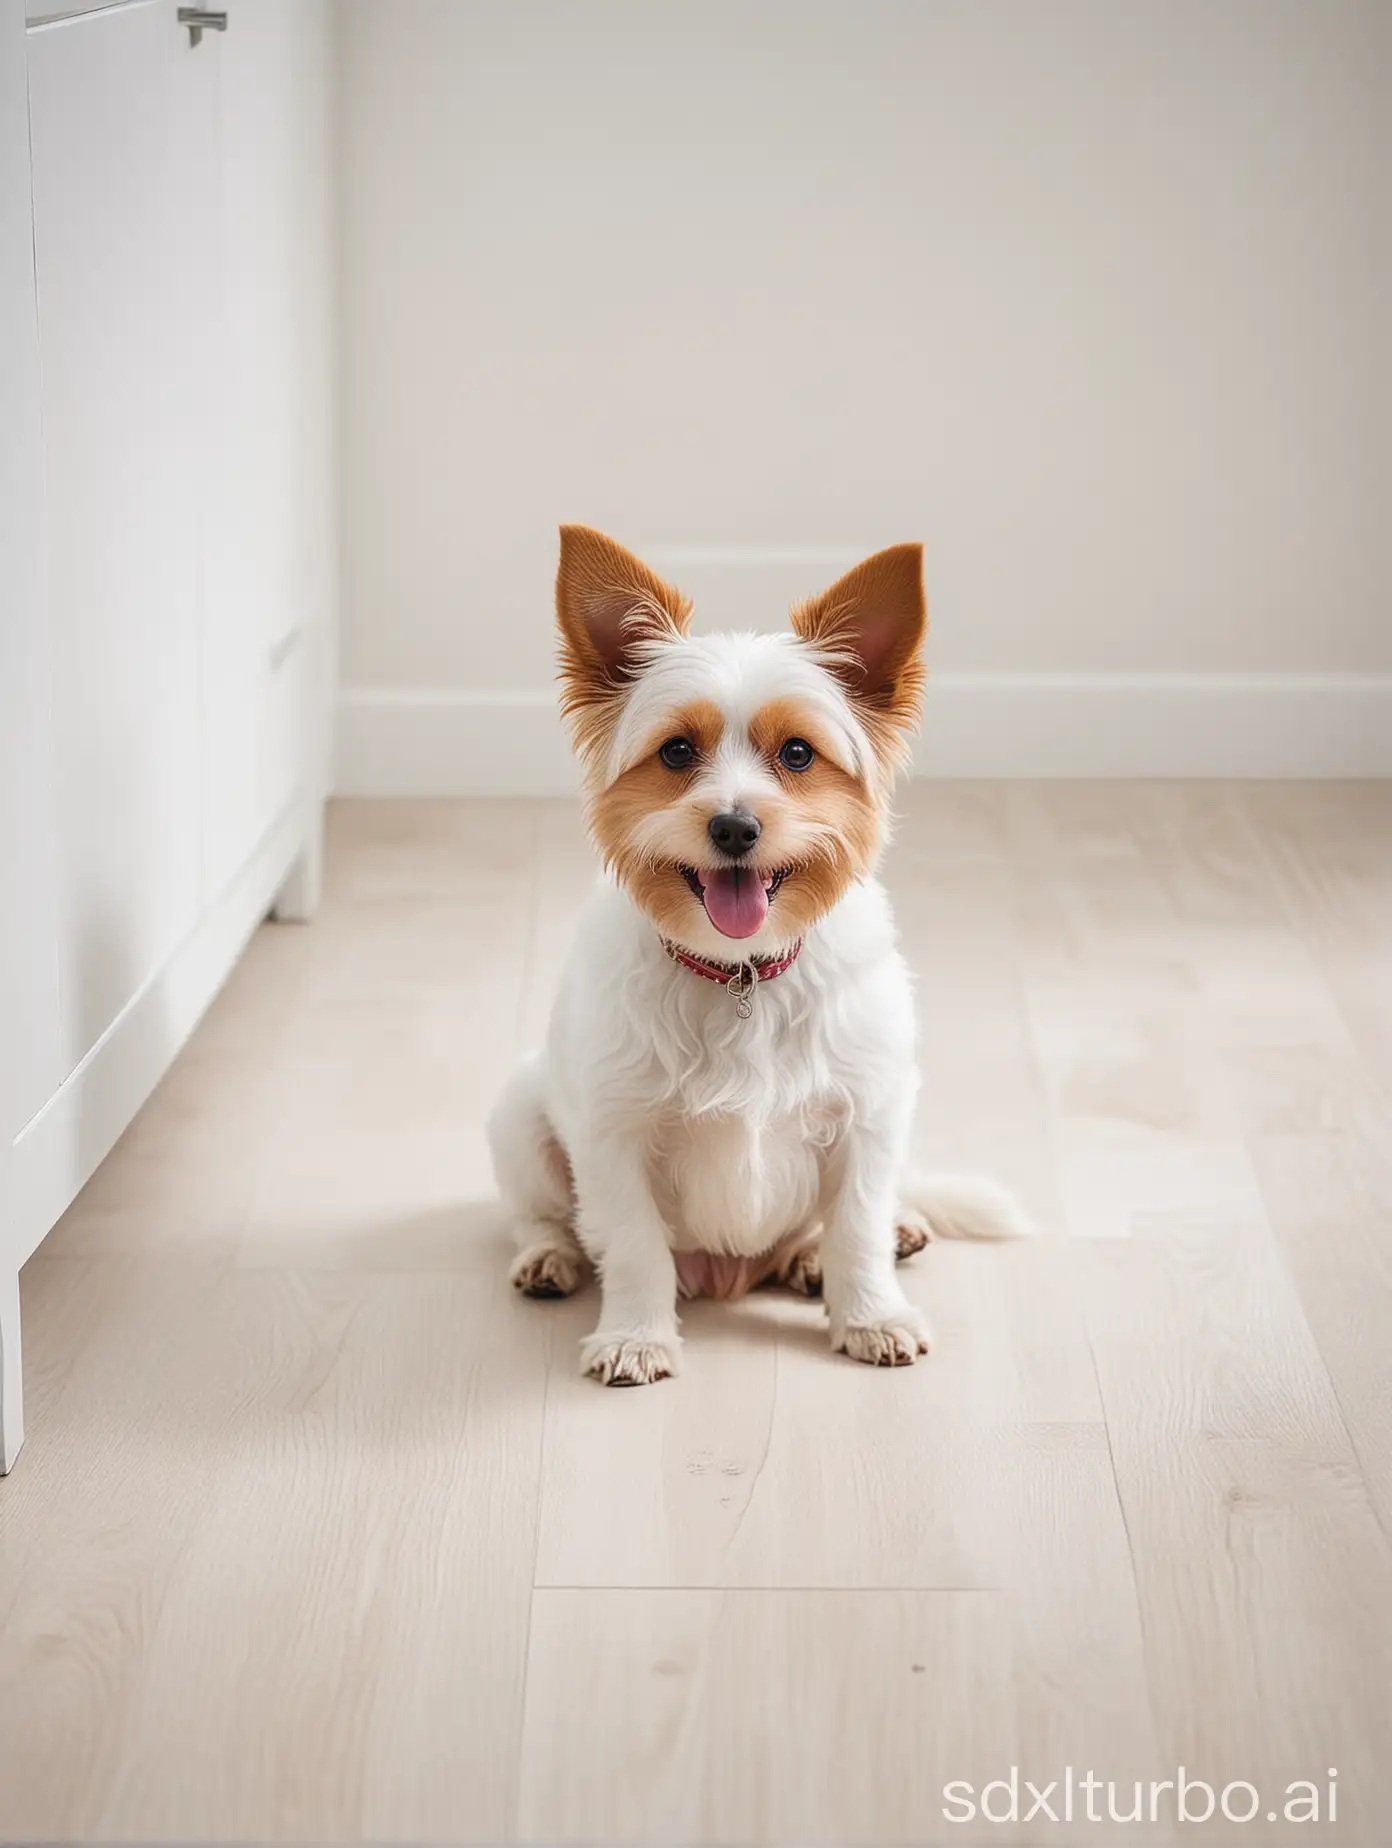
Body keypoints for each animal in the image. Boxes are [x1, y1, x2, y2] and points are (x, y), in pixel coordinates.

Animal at [484, 524, 1027, 1389]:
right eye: (677, 752)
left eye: (798, 755)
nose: (736, 826)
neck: (739, 971)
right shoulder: (612, 1131)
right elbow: (631, 1244)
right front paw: (636, 1335)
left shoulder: (870, 1114)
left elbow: (857, 1228)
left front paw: (871, 1315)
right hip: (521, 1111)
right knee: (539, 1216)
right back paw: (548, 1258)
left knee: (848, 1223)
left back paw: (842, 1248)